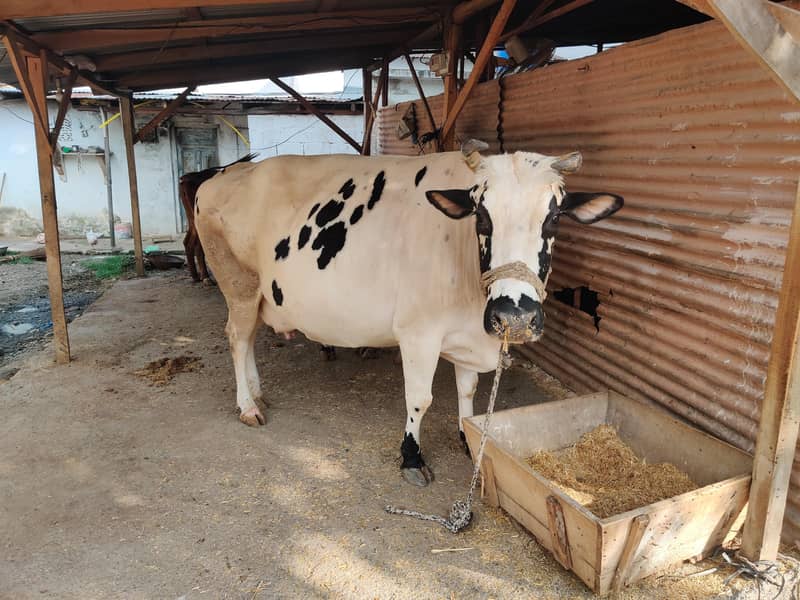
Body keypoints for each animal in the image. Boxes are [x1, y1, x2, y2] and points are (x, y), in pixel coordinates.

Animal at [194, 142, 623, 486]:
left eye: (554, 217)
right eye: (481, 216)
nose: (514, 317)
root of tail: (222, 175)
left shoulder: (467, 334)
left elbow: (467, 390)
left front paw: (466, 435)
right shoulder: (419, 332)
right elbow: (420, 398)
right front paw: (411, 456)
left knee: (248, 339)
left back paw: (256, 393)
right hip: (239, 284)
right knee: (237, 337)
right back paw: (247, 405)